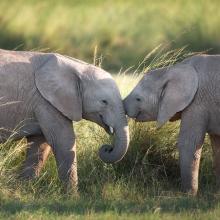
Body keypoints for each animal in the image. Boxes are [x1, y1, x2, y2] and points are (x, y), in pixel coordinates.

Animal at [0, 49, 129, 190]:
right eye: (104, 102)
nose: (107, 148)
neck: (78, 68)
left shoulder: (42, 102)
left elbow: (40, 144)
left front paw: (25, 187)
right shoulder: (45, 102)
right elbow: (63, 141)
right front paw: (72, 194)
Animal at [124, 55, 220, 196]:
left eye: (138, 99)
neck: (173, 69)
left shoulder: (197, 102)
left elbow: (189, 143)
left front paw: (188, 195)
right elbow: (217, 145)